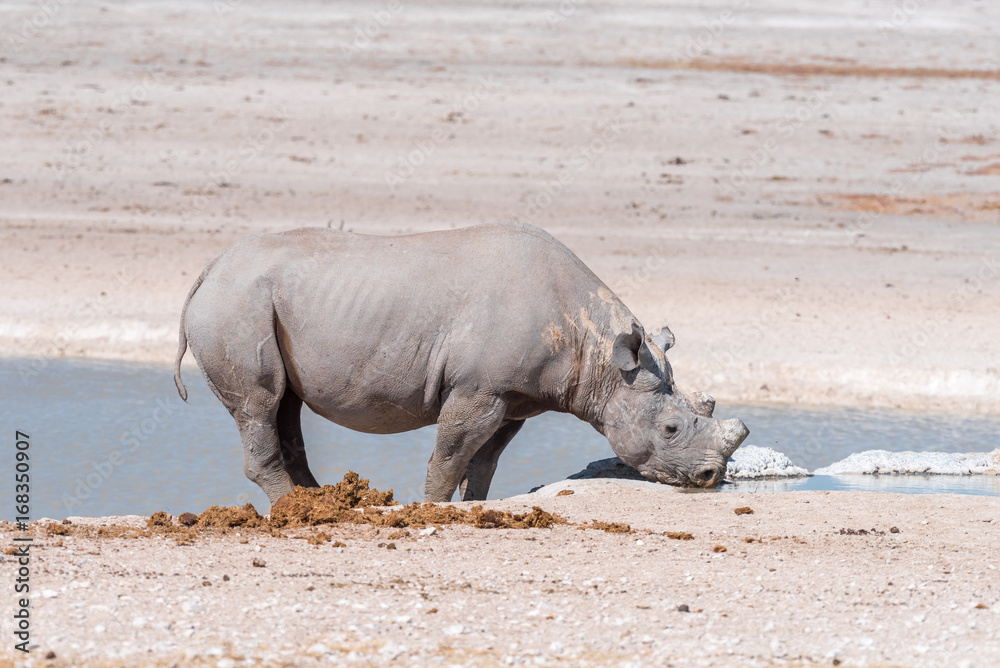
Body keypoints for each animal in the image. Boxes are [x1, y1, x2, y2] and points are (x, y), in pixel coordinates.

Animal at [173, 222, 748, 504]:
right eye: (671, 428)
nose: (709, 478)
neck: (600, 353)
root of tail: (209, 269)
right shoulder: (478, 388)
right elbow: (449, 455)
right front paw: (432, 508)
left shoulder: (515, 397)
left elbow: (483, 460)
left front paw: (472, 506)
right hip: (235, 304)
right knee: (260, 404)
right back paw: (297, 512)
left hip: (252, 301)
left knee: (285, 406)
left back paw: (321, 505)